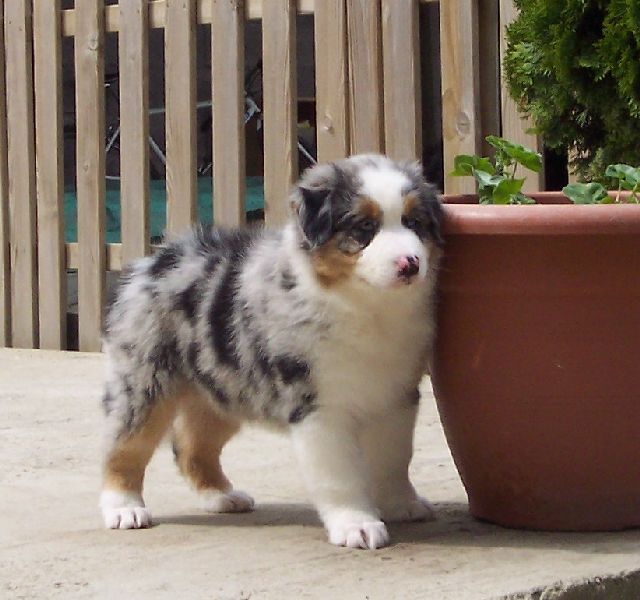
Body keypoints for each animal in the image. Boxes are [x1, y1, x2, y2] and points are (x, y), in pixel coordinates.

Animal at [100, 154, 442, 548]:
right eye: (364, 227)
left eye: (414, 222)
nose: (410, 264)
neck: (365, 307)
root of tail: (154, 261)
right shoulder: (319, 407)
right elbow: (341, 475)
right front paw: (356, 525)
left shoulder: (396, 398)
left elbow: (393, 461)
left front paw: (402, 505)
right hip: (144, 380)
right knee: (124, 446)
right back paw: (124, 509)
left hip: (221, 391)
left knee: (191, 446)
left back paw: (222, 497)